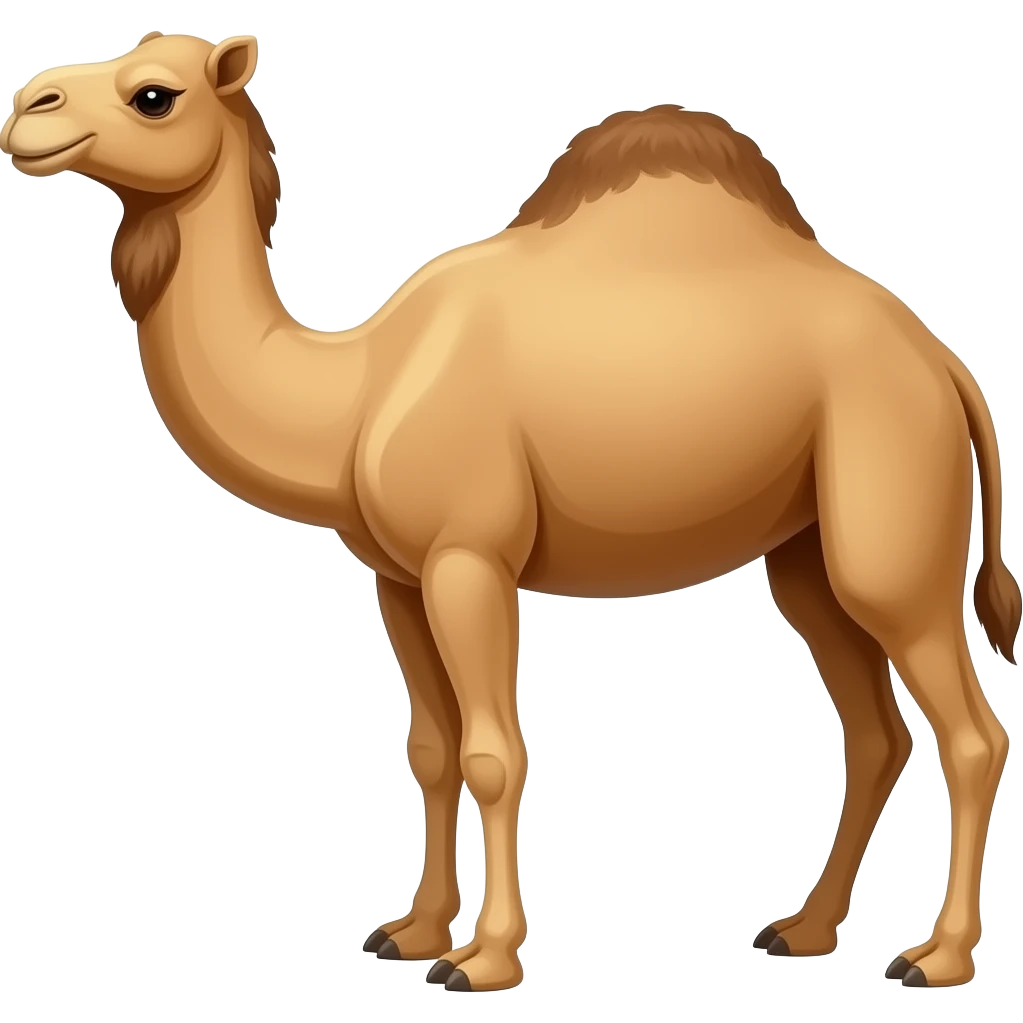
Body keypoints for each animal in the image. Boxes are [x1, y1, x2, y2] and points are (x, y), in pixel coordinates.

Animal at [2, 31, 1019, 994]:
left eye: (154, 94)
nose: (26, 107)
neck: (356, 393)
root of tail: (945, 364)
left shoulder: (470, 558)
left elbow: (496, 753)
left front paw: (483, 959)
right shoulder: (398, 578)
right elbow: (432, 747)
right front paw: (412, 933)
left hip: (890, 523)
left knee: (971, 733)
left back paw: (936, 956)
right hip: (806, 553)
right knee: (874, 730)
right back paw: (803, 930)